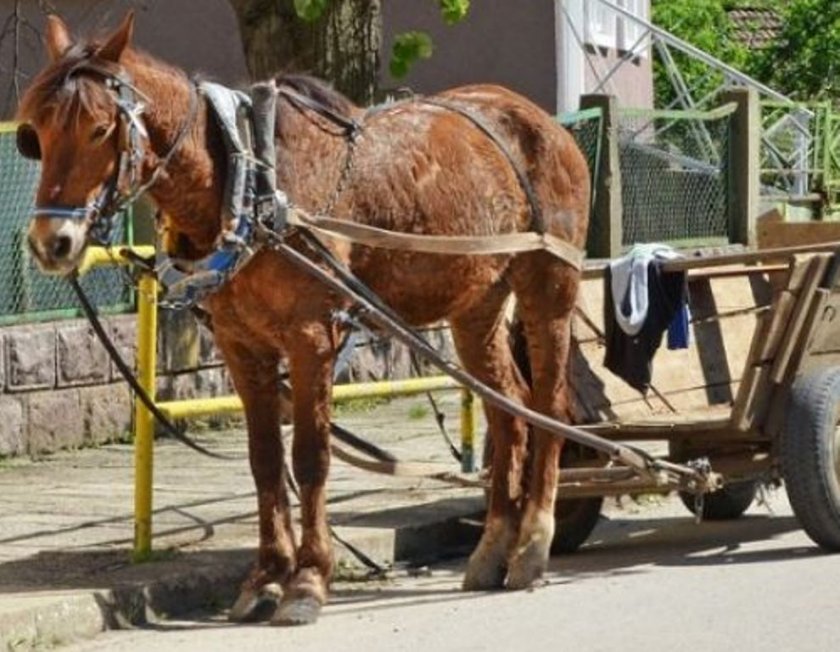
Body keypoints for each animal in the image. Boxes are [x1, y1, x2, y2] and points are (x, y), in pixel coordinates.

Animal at [14, 12, 592, 624]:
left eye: (100, 129)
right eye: (36, 133)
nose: (52, 242)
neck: (246, 182)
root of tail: (538, 119)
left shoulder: (312, 337)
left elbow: (310, 457)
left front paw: (309, 580)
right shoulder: (242, 345)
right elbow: (266, 460)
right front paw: (266, 578)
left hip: (549, 287)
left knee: (549, 405)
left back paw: (533, 542)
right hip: (476, 303)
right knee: (508, 410)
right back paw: (493, 546)